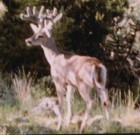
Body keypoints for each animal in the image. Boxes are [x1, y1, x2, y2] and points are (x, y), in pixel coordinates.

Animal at [20, 5, 109, 133]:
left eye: (41, 35)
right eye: (35, 32)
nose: (28, 40)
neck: (54, 58)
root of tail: (97, 66)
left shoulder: (58, 80)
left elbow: (60, 102)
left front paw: (59, 126)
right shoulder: (70, 84)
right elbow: (68, 99)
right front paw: (68, 120)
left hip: (83, 84)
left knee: (90, 102)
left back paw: (82, 127)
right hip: (101, 83)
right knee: (106, 101)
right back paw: (108, 125)